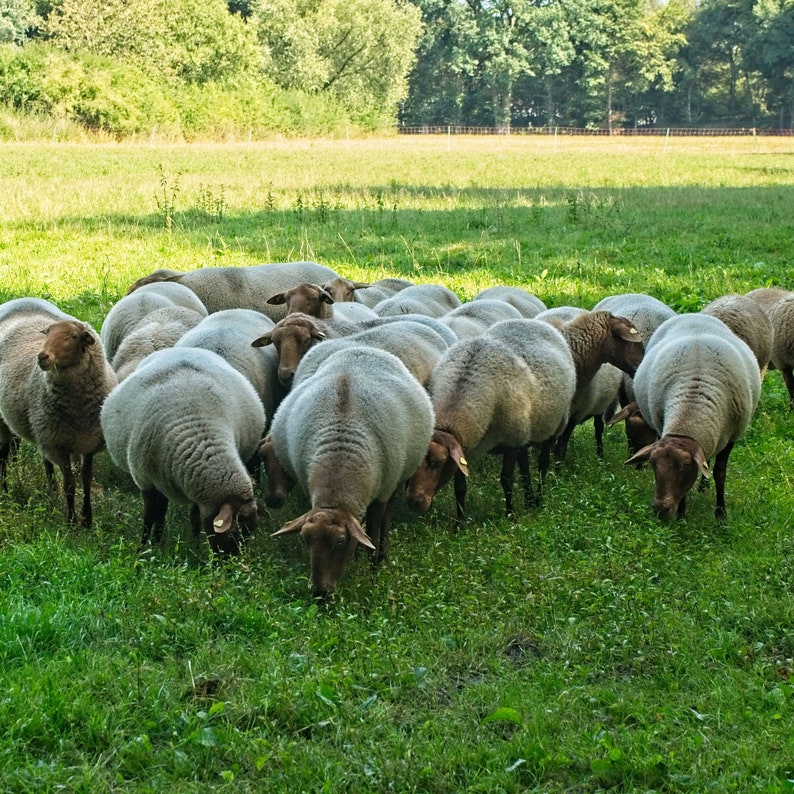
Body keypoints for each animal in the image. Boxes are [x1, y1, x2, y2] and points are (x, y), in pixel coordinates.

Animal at [0, 298, 117, 527]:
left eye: (73, 337)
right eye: (47, 334)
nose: (42, 357)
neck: (78, 410)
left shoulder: (88, 442)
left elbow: (86, 479)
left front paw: (87, 519)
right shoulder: (59, 443)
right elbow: (70, 484)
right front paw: (71, 521)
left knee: (42, 458)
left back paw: (51, 491)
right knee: (2, 456)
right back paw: (5, 491)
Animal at [100, 347, 266, 554]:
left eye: (248, 534)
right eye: (234, 533)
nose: (231, 563)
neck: (202, 437)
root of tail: (182, 348)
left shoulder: (197, 488)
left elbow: (194, 516)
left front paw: (194, 546)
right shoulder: (146, 481)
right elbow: (149, 516)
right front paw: (144, 548)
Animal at [263, 346, 434, 598]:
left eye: (340, 542)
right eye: (305, 540)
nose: (320, 592)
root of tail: (361, 348)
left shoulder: (382, 491)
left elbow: (374, 528)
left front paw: (373, 567)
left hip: (395, 480)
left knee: (387, 517)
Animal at [405, 318, 577, 526]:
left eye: (437, 462)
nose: (413, 502)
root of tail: (530, 321)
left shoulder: (511, 442)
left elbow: (506, 480)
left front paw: (511, 516)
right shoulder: (464, 447)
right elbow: (460, 488)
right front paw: (460, 524)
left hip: (554, 424)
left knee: (543, 465)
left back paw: (539, 499)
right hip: (525, 431)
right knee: (525, 466)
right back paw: (529, 501)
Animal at [625, 313, 761, 520]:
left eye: (685, 466)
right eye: (653, 465)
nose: (660, 510)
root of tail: (693, 314)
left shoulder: (732, 436)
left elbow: (720, 473)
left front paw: (720, 514)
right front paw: (682, 515)